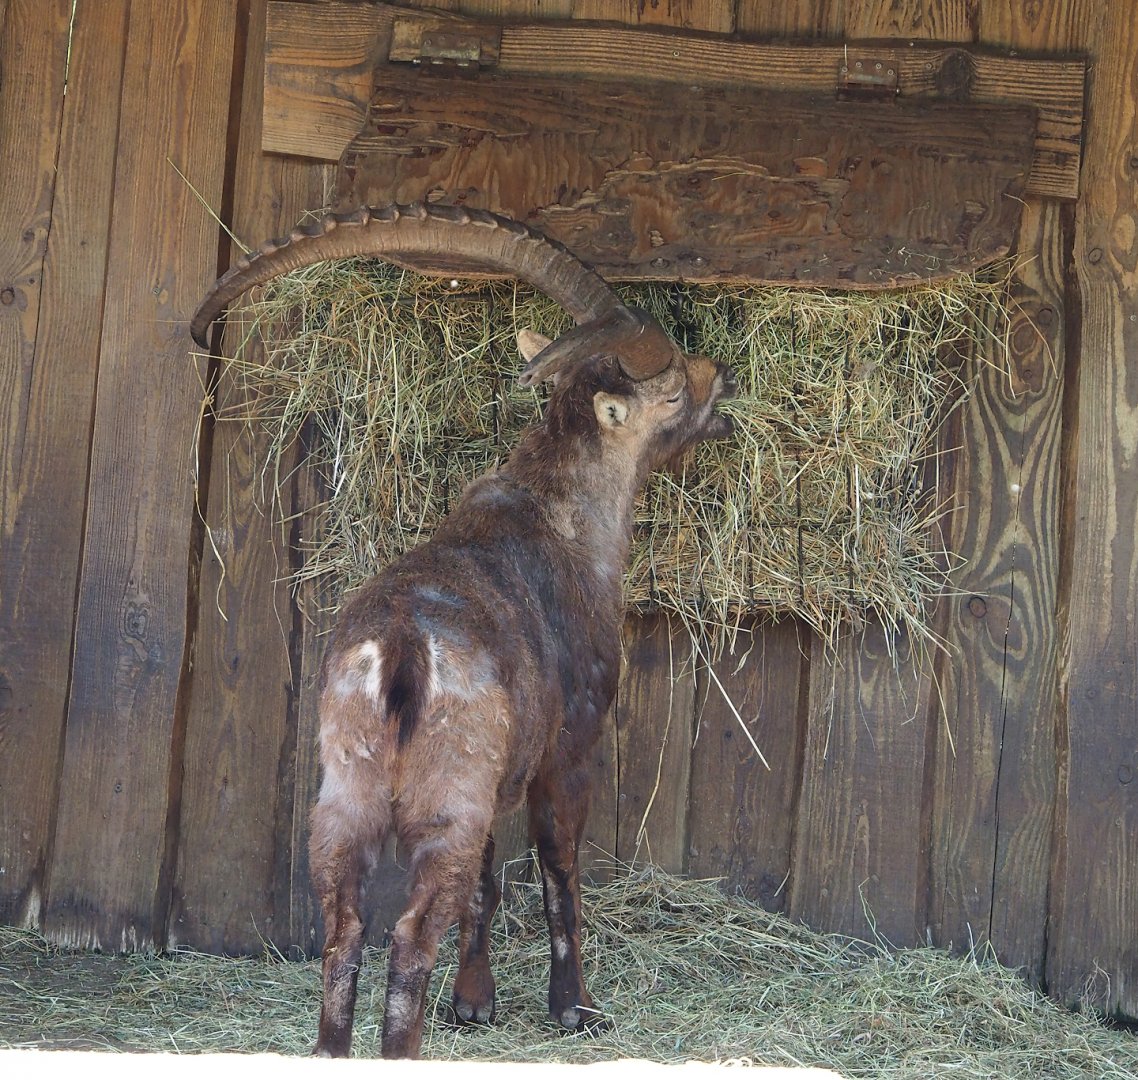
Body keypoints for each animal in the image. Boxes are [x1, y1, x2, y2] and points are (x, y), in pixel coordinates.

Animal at [192, 204, 736, 1059]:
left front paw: (475, 1003)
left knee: (345, 932)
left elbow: (486, 883)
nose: (724, 374)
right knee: (412, 935)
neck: (561, 516)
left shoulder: (494, 778)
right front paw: (574, 1007)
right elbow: (557, 874)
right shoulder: (566, 753)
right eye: (676, 387)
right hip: (444, 795)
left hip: (348, 795)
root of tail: (402, 650)